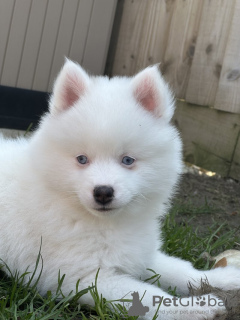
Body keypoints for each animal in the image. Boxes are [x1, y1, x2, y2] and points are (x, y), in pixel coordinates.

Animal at [0, 59, 238, 318]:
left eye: (127, 160)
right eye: (82, 159)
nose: (103, 192)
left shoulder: (139, 252)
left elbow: (181, 269)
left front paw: (223, 278)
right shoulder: (81, 277)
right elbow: (147, 295)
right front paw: (195, 307)